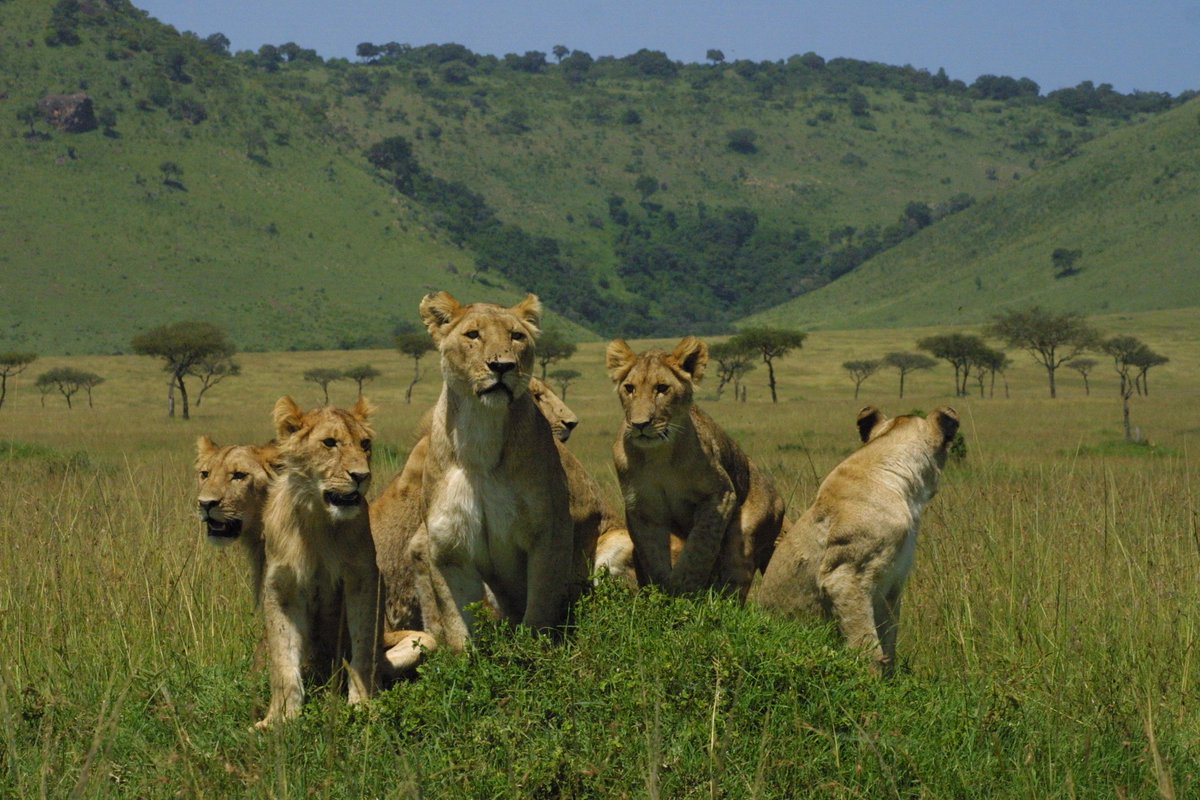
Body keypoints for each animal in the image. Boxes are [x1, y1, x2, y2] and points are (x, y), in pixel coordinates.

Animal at [255, 396, 388, 728]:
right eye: (330, 443)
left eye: (365, 444)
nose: (362, 476)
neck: (317, 518)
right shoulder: (280, 588)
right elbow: (282, 658)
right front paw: (279, 718)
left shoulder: (363, 577)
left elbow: (364, 643)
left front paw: (363, 703)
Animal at [414, 291, 581, 652]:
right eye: (473, 335)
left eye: (516, 336)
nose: (502, 366)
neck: (481, 432)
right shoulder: (447, 547)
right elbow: (457, 623)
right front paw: (465, 662)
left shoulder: (548, 532)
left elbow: (539, 609)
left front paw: (533, 655)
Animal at [606, 336, 785, 600]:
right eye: (629, 388)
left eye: (662, 388)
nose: (640, 424)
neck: (658, 456)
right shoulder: (643, 507)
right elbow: (653, 555)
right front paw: (663, 592)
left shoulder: (720, 494)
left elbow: (700, 546)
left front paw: (683, 589)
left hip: (747, 531)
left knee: (733, 583)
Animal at [755, 406, 960, 676]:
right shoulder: (844, 577)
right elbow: (866, 643)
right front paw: (870, 680)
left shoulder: (892, 586)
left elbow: (889, 637)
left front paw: (890, 677)